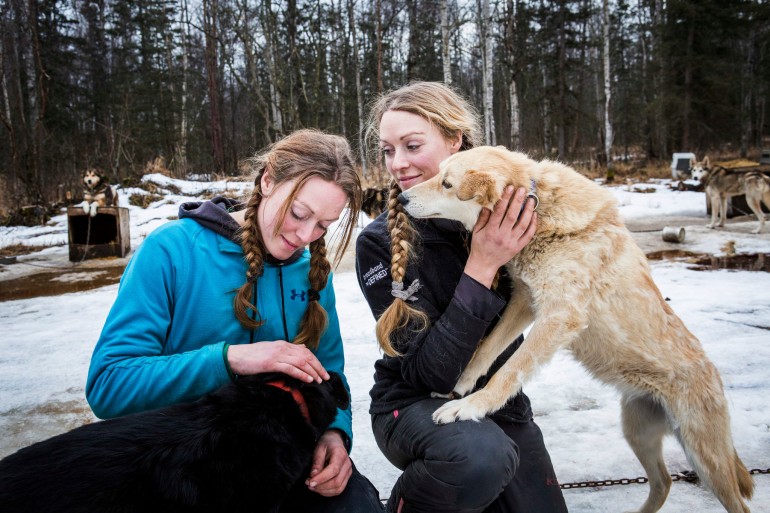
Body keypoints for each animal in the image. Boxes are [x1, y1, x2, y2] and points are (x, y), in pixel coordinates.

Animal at [396, 145, 752, 512]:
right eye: (438, 174)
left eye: (447, 184)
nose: (402, 198)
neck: (542, 210)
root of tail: (713, 375)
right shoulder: (525, 302)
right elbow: (485, 350)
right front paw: (459, 387)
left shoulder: (558, 316)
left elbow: (508, 372)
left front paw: (469, 407)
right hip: (637, 432)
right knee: (663, 482)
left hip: (706, 460)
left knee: (735, 503)